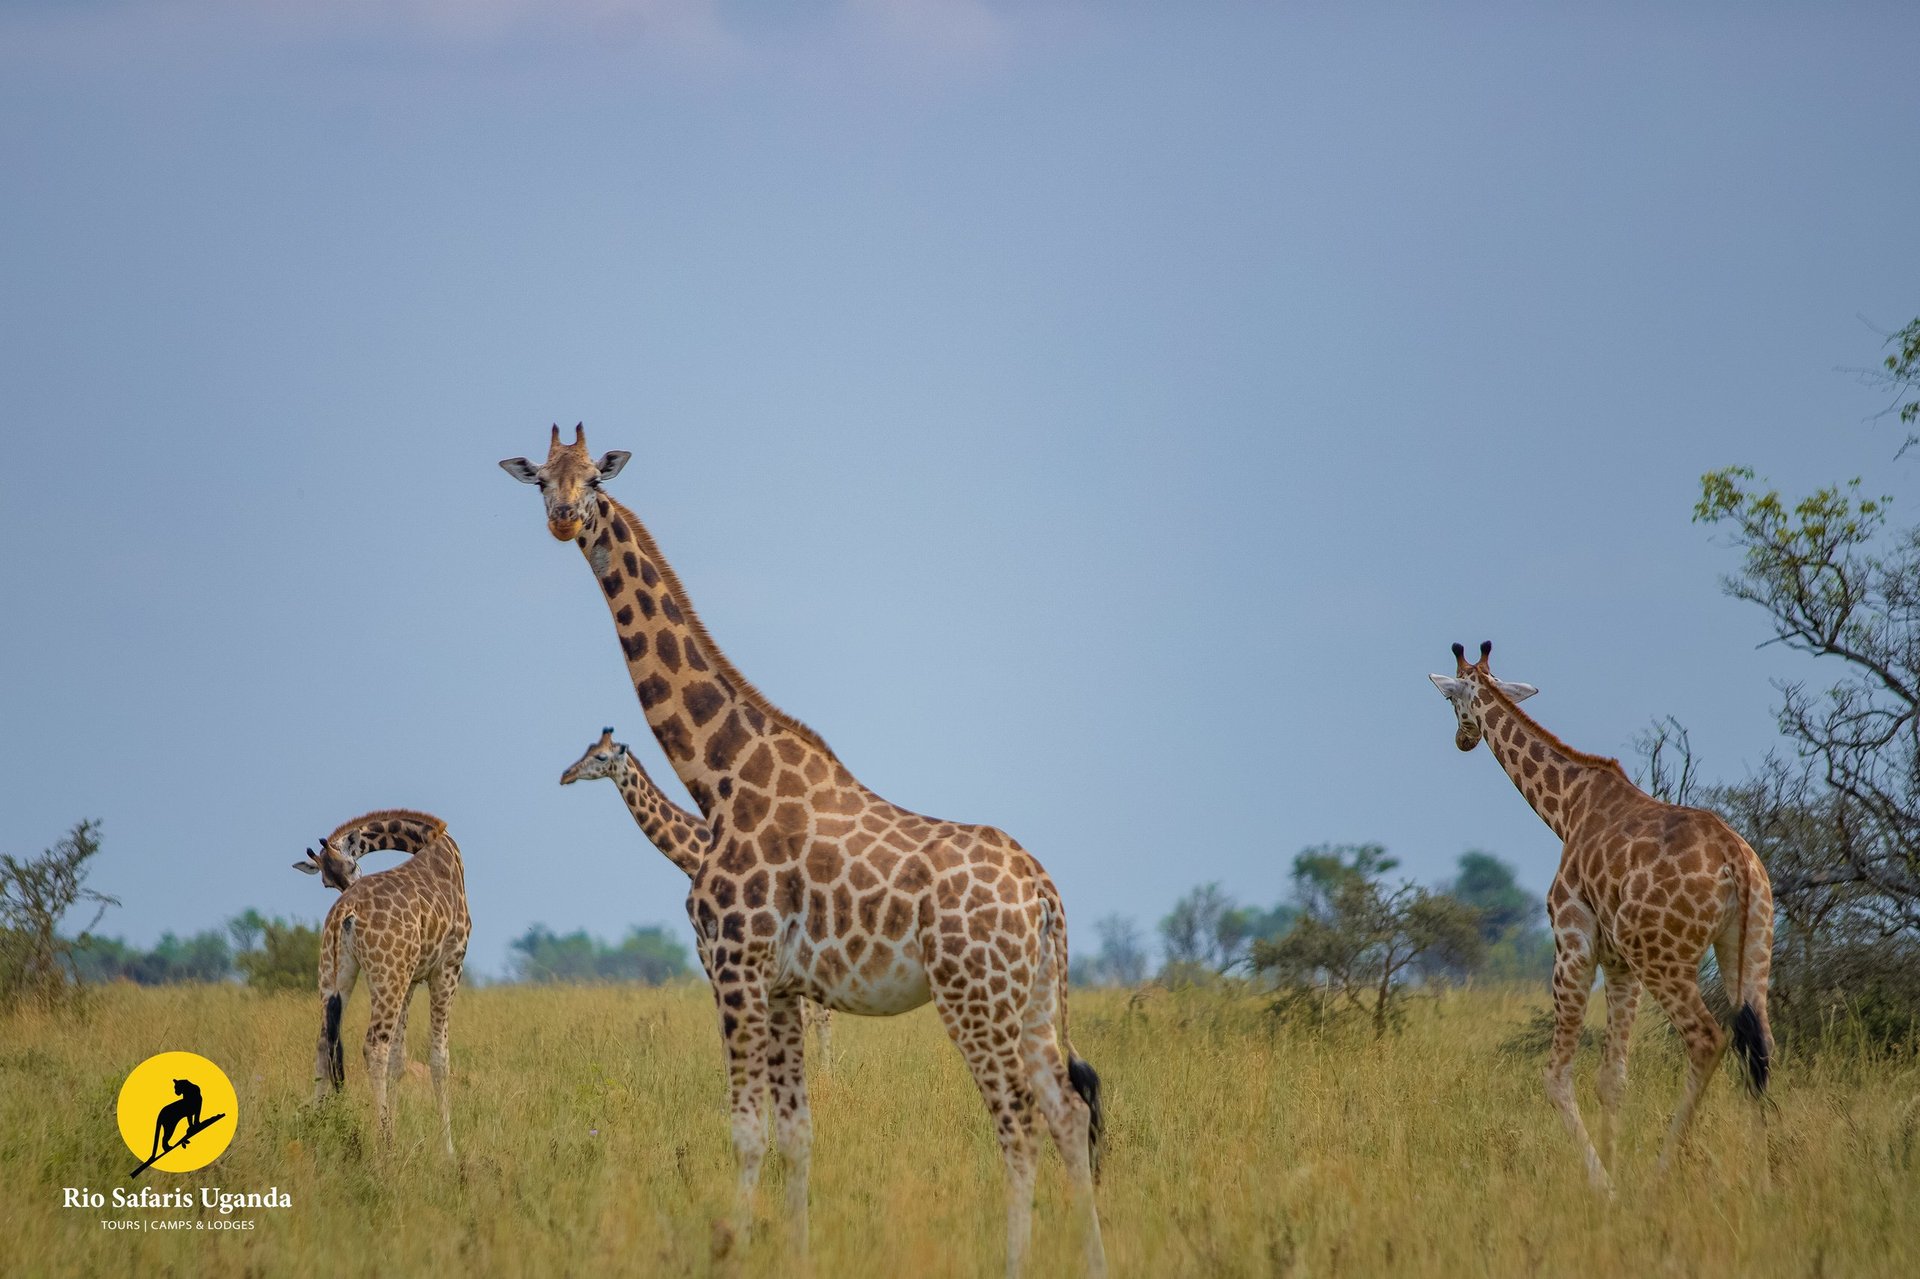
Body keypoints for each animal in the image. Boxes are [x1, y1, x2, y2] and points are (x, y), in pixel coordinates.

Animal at [295, 809, 471, 1157]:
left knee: (323, 1043)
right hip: (388, 975)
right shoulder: (447, 967)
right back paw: (385, 1141)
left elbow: (398, 1061)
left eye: (350, 867)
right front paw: (448, 1150)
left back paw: (316, 1132)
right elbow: (439, 1059)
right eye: (326, 880)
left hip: (337, 976)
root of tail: (345, 912)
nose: (349, 886)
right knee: (374, 1045)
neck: (434, 843)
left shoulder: (411, 977)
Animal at [560, 726, 835, 1064]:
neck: (693, 857)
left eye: (600, 756)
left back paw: (824, 1068)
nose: (566, 775)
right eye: (587, 748)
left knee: (819, 1012)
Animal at [1429, 641, 1774, 1192]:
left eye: (1451, 698)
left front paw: (1606, 1186)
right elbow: (1612, 1079)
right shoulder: (1619, 962)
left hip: (1665, 957)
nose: (1462, 740)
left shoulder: (1575, 944)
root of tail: (1736, 863)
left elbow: (1556, 1077)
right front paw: (1613, 1167)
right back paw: (1765, 1182)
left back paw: (1659, 1176)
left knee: (1707, 1039)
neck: (1567, 808)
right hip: (1749, 948)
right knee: (1758, 1049)